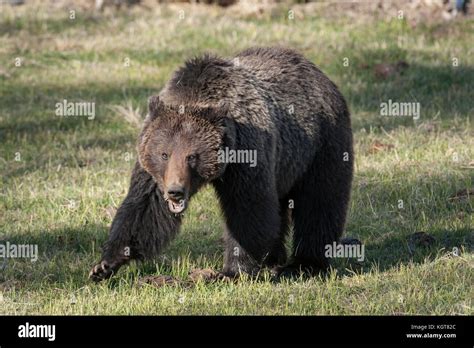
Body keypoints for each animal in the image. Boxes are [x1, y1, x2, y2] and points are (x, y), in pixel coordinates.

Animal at [90, 46, 354, 282]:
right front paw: (105, 265)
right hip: (286, 164)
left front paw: (232, 271)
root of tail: (320, 74)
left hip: (322, 144)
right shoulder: (153, 172)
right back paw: (274, 259)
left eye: (192, 156)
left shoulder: (246, 153)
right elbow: (144, 208)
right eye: (164, 154)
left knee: (319, 202)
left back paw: (303, 264)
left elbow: (247, 209)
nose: (175, 192)